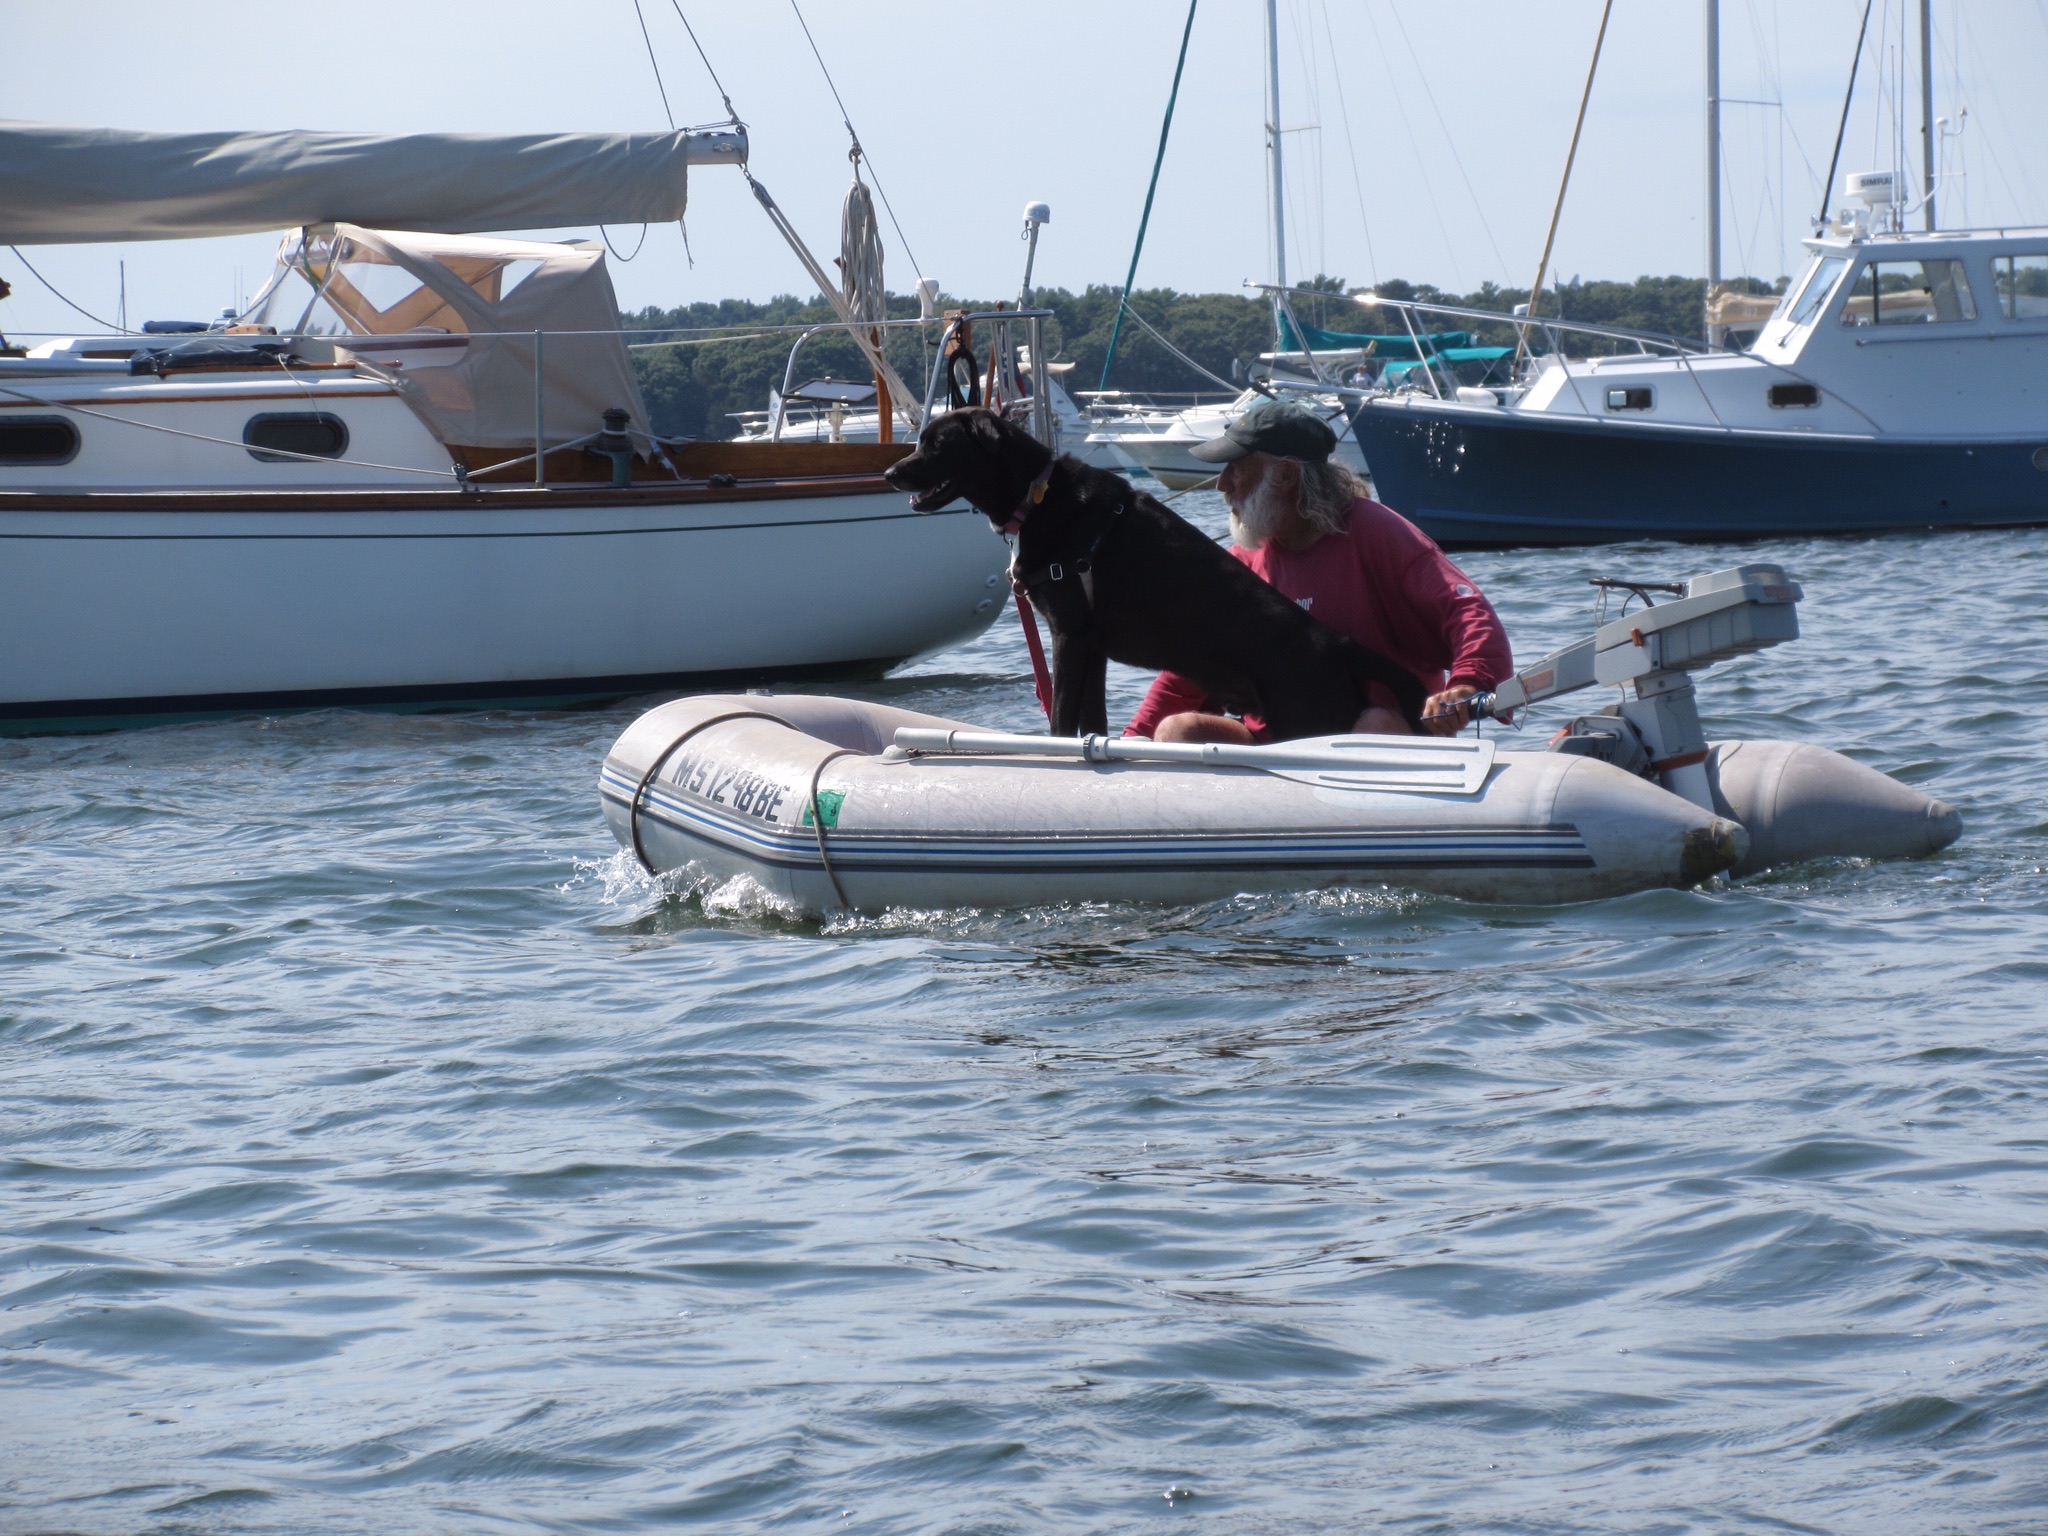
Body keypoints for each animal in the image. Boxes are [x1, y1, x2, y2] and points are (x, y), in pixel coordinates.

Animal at [880, 409, 1425, 745]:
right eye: (921, 441)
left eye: (937, 443)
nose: (888, 473)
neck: (1036, 495)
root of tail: (1338, 644)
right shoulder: (1093, 648)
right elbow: (1091, 723)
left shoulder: (1069, 634)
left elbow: (1059, 720)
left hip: (1306, 717)